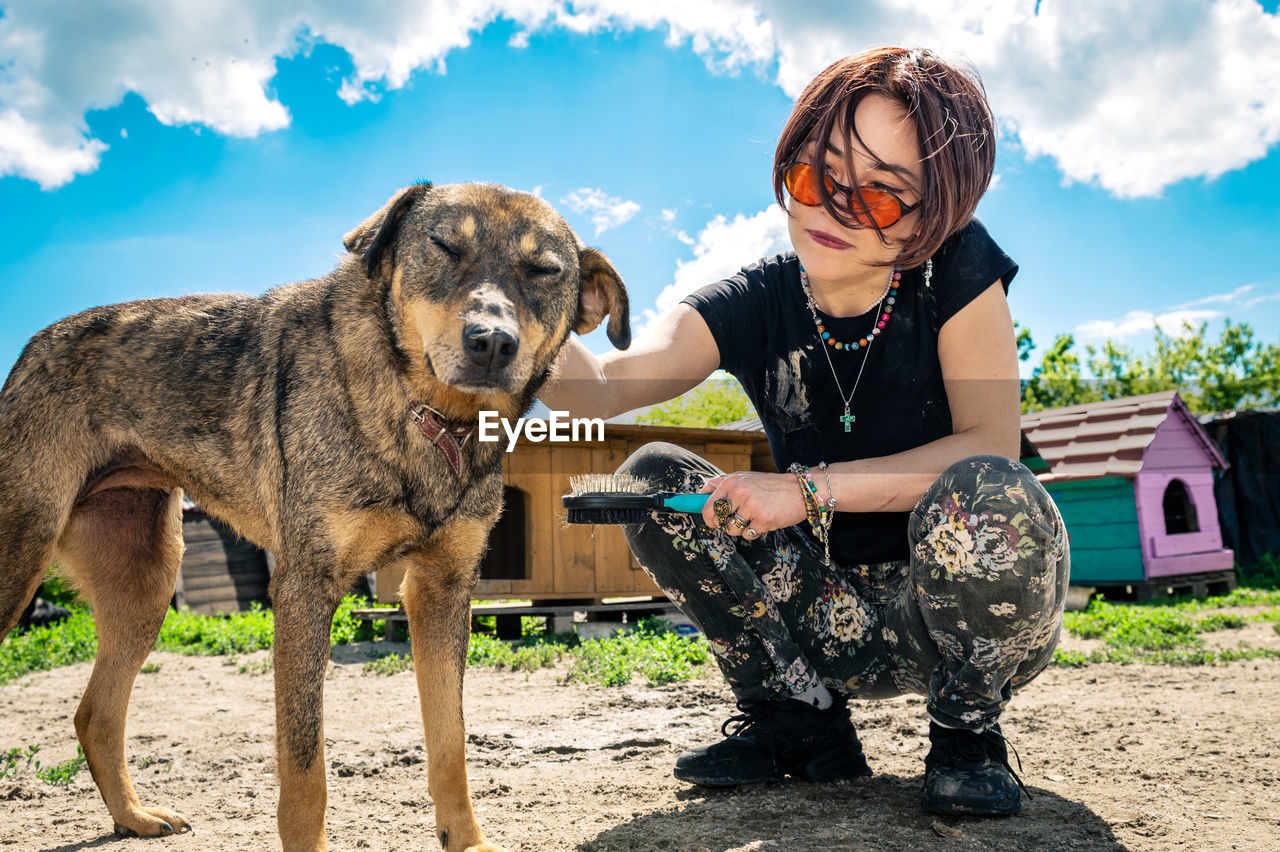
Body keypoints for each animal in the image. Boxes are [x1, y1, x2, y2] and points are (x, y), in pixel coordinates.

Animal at [0, 180, 632, 849]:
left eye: (543, 271)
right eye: (444, 247)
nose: (491, 342)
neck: (426, 415)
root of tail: (32, 347)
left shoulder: (441, 591)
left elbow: (451, 742)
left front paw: (467, 840)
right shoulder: (305, 589)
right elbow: (305, 766)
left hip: (145, 585)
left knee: (95, 713)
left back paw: (134, 816)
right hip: (24, 560)